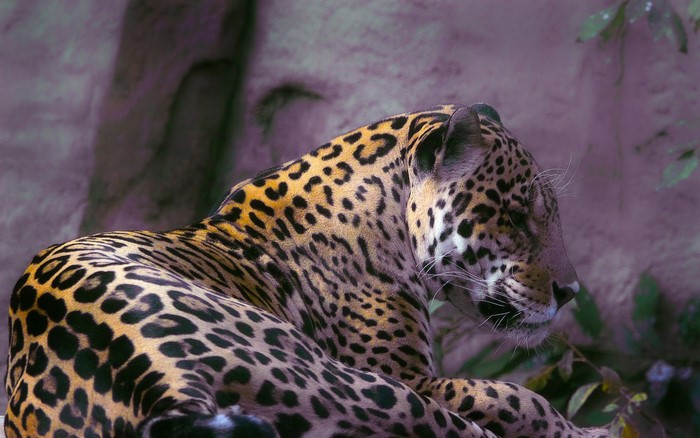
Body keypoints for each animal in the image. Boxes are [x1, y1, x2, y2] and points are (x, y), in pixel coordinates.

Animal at [4, 103, 608, 437]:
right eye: (516, 217)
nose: (570, 291)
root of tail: (152, 373)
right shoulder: (411, 376)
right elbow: (515, 397)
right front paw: (581, 431)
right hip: (355, 384)